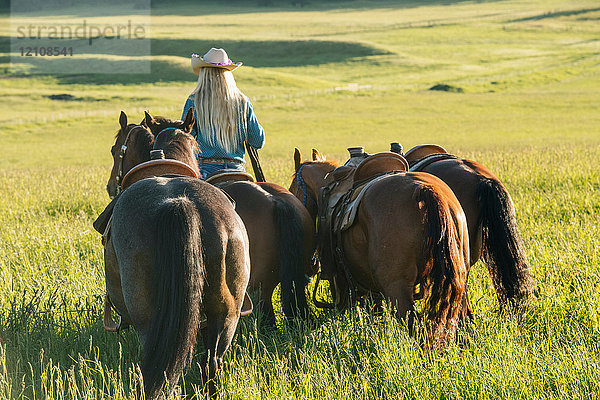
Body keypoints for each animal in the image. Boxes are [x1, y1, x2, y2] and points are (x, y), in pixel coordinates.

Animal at [99, 111, 250, 398]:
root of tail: (179, 203)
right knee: (211, 363)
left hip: (149, 320)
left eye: (114, 149)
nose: (111, 186)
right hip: (226, 315)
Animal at [288, 148, 472, 342]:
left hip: (397, 288)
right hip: (457, 279)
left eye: (292, 189)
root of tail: (425, 190)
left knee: (415, 327)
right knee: (462, 318)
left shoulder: (341, 280)